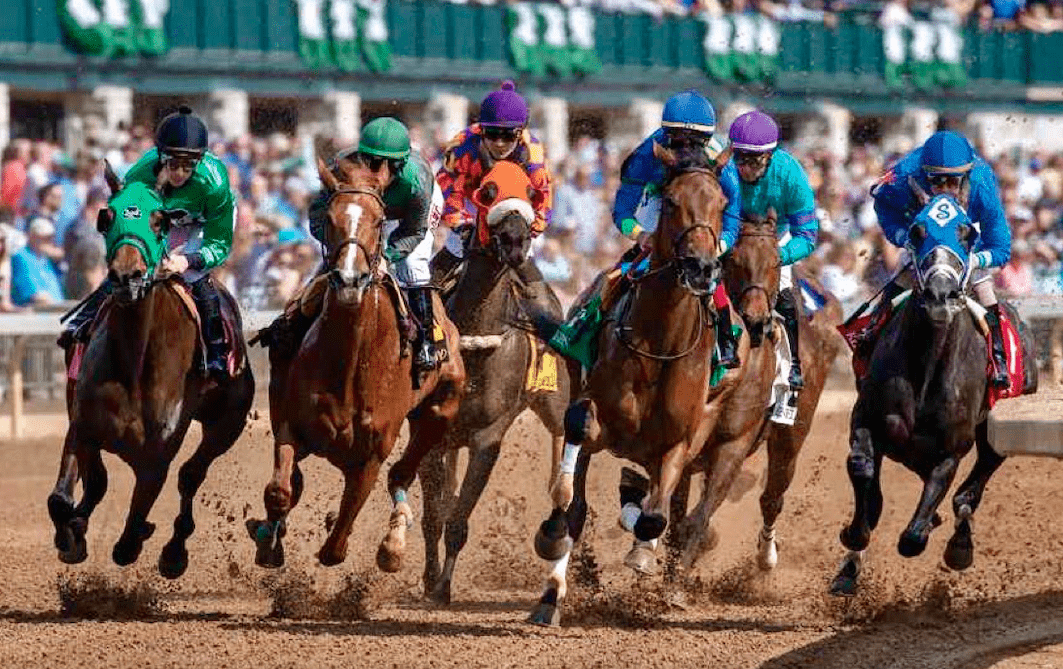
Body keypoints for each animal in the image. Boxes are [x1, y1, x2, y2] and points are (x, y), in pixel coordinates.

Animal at [47, 169, 252, 578]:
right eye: (107, 215)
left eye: (159, 221)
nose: (127, 276)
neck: (134, 362)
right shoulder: (83, 423)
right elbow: (67, 496)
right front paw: (71, 538)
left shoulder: (157, 456)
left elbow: (128, 539)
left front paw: (142, 534)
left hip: (228, 423)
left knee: (191, 475)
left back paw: (174, 552)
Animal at [250, 155, 467, 570]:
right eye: (330, 217)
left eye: (380, 220)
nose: (350, 279)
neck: (349, 364)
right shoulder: (291, 424)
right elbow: (280, 490)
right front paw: (269, 539)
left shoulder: (370, 455)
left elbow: (336, 545)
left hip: (440, 411)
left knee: (401, 475)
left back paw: (394, 541)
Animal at [518, 143, 735, 625]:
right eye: (670, 201)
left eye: (722, 203)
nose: (701, 267)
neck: (661, 342)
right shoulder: (598, 418)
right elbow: (574, 484)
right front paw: (553, 534)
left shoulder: (680, 440)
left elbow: (657, 515)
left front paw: (642, 551)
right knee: (577, 503)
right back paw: (549, 597)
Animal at [833, 193, 1033, 595]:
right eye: (916, 230)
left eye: (967, 232)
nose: (941, 294)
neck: (926, 368)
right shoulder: (867, 418)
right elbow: (863, 470)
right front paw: (853, 537)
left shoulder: (952, 451)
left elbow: (913, 537)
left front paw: (932, 532)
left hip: (998, 427)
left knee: (972, 488)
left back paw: (958, 542)